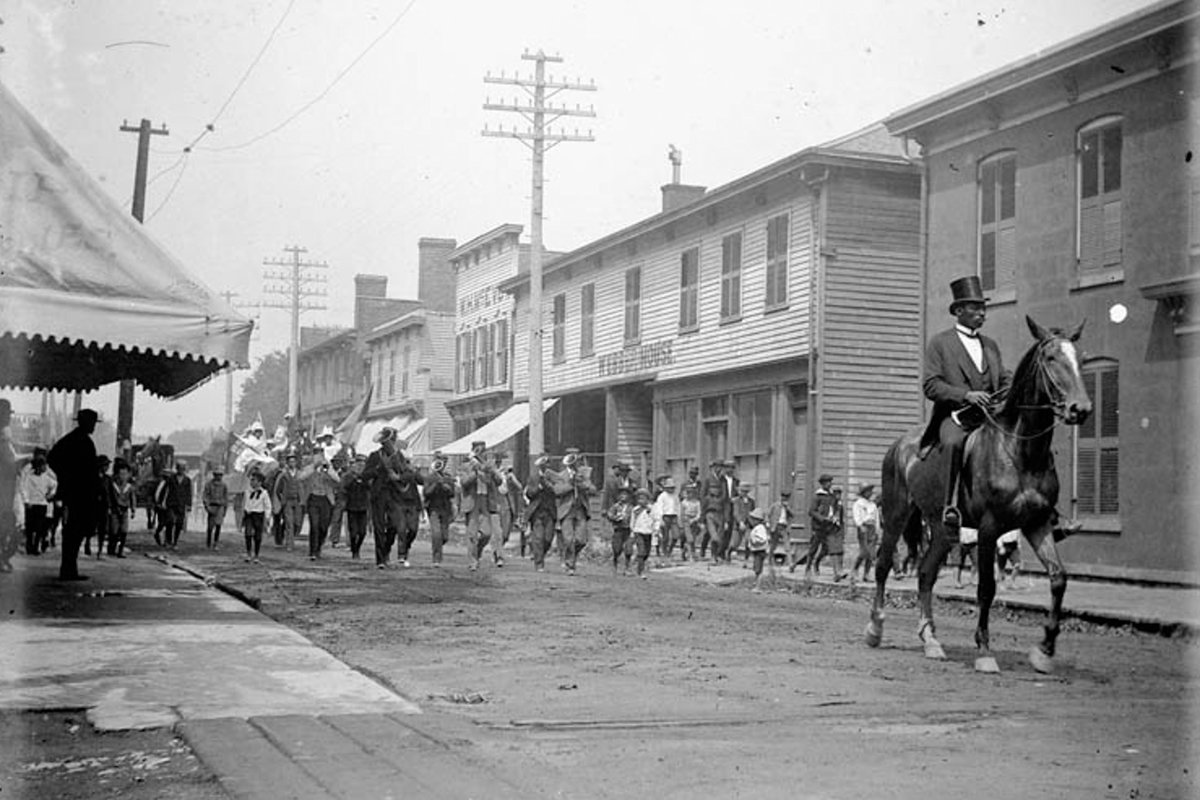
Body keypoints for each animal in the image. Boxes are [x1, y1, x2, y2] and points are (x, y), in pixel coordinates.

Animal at [868, 316, 1094, 676]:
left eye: (1081, 360)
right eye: (1050, 358)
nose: (1080, 409)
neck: (1020, 450)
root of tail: (900, 444)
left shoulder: (1037, 524)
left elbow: (1058, 579)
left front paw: (1045, 649)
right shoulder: (989, 529)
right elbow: (986, 587)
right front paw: (985, 651)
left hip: (942, 528)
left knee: (926, 574)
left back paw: (931, 639)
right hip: (895, 515)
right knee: (882, 565)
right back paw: (876, 628)